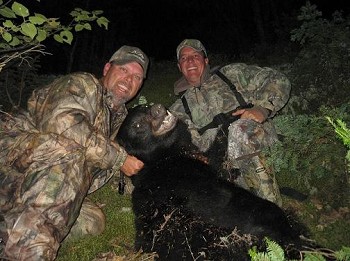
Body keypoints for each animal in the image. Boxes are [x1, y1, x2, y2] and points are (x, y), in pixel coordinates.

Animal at [117, 103, 318, 260]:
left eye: (145, 106)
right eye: (137, 125)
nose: (157, 109)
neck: (162, 156)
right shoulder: (191, 169)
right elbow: (221, 163)